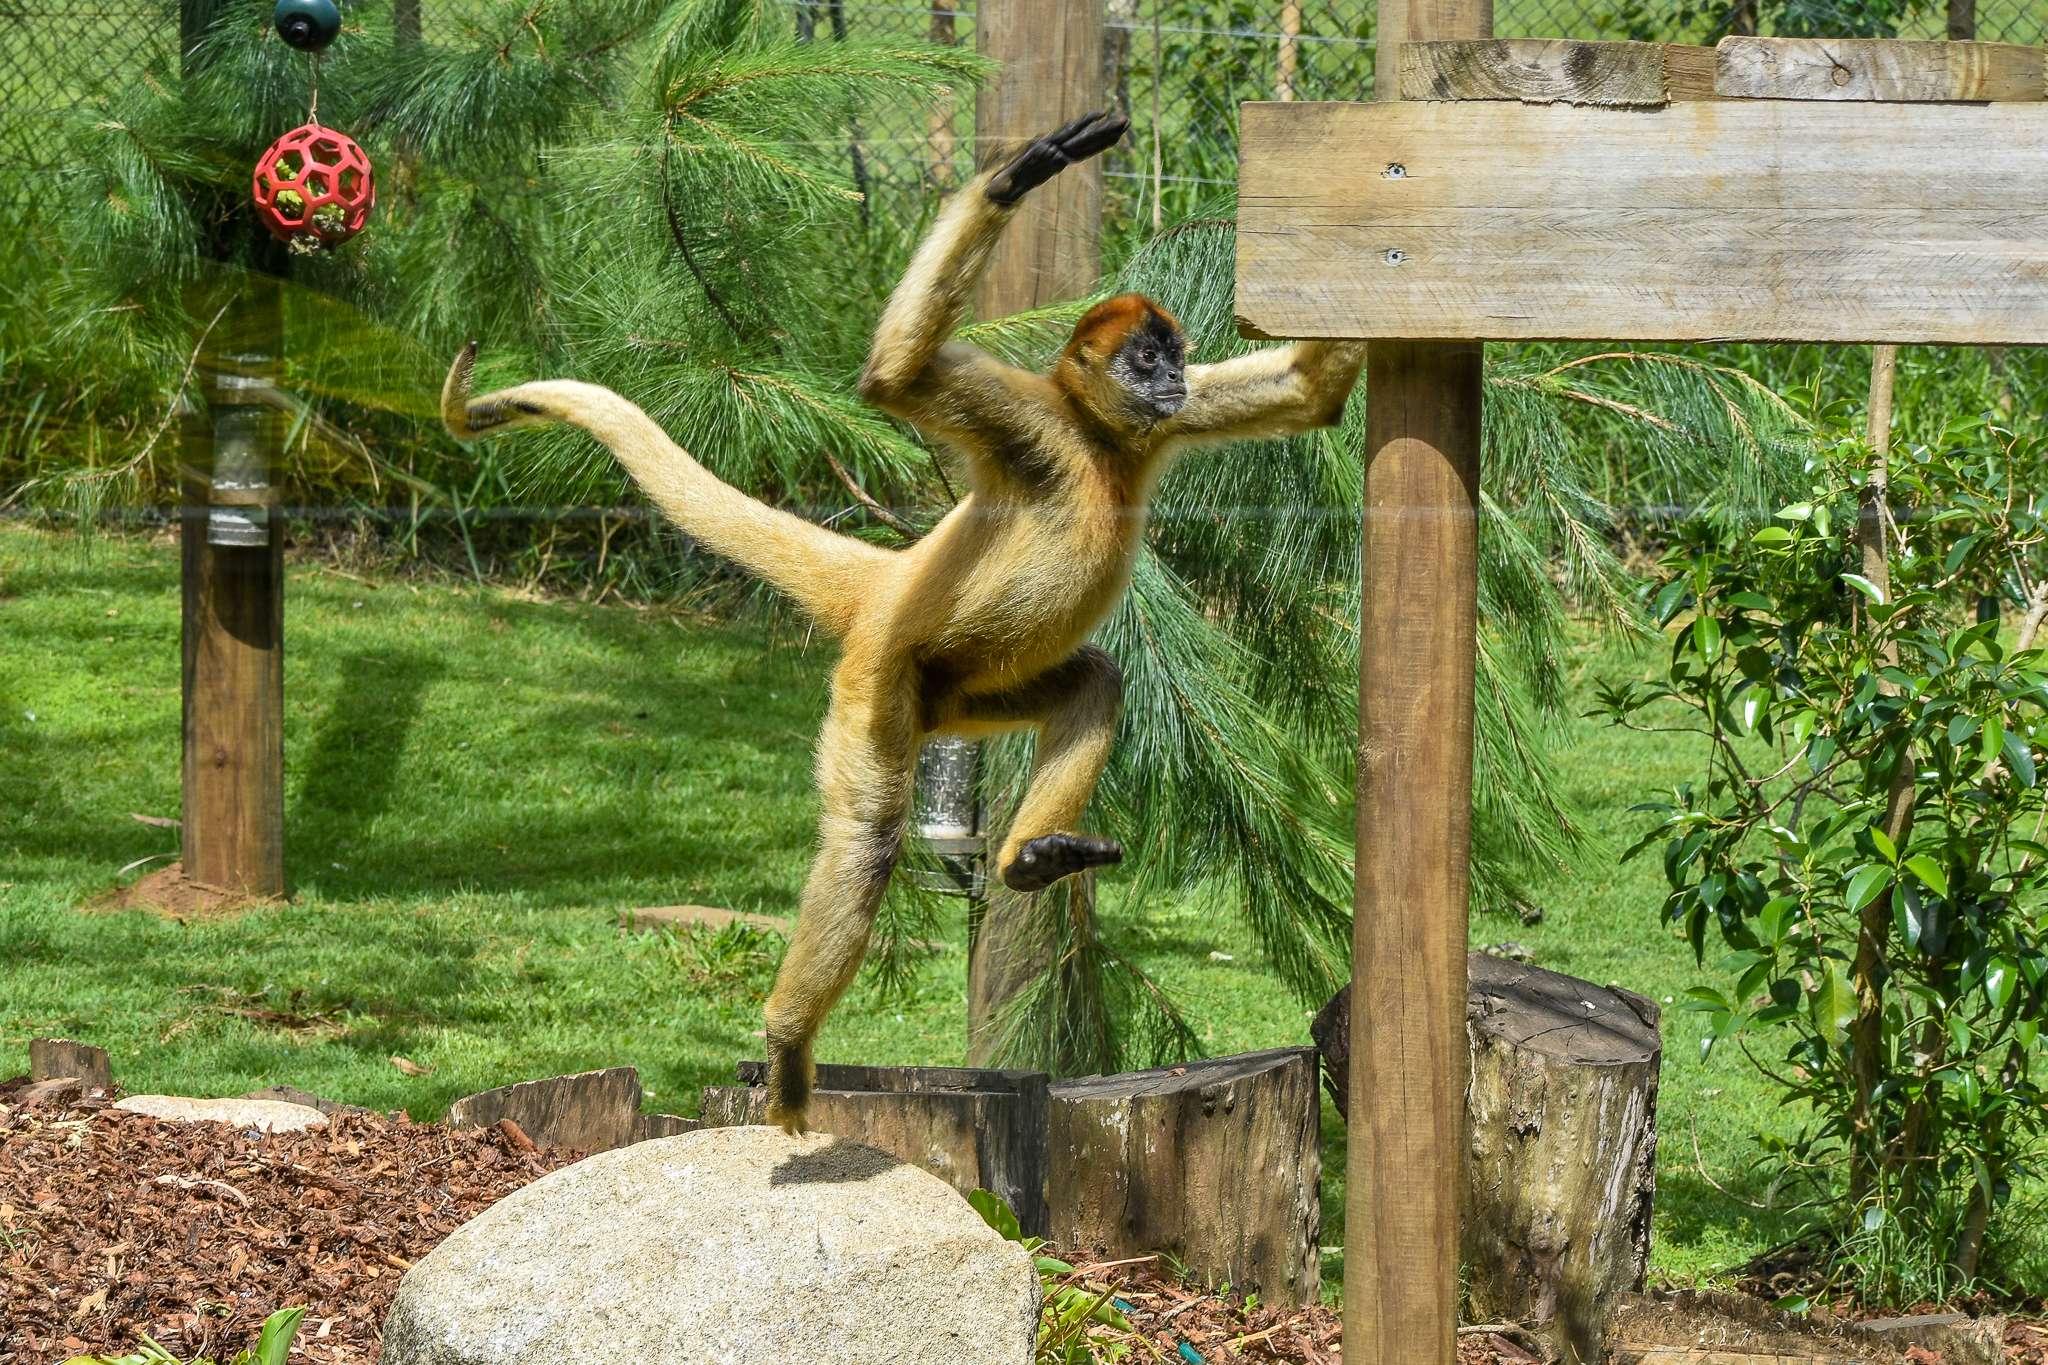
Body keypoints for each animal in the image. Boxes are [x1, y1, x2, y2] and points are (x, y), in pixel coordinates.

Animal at [441, 111, 1366, 1133]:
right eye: (1144, 357)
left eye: (1174, 356)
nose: (1171, 377)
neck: (1097, 445)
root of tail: (890, 580)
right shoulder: (1032, 425)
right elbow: (892, 380)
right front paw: (1020, 173)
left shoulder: (1158, 425)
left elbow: (1310, 394)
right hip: (884, 679)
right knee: (869, 837)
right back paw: (788, 1041)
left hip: (966, 694)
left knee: (1095, 676)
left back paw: (1029, 860)